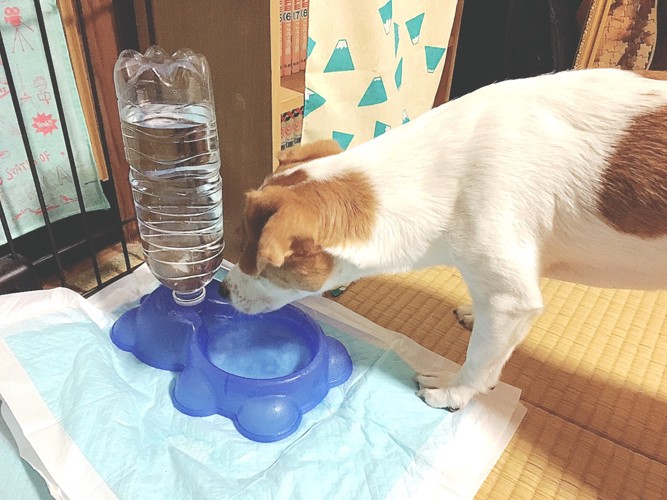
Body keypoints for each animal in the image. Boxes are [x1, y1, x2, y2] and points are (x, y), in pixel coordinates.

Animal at [220, 68, 667, 412]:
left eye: (256, 260)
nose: (222, 290)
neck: (438, 175)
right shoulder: (517, 291)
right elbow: (499, 346)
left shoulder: (508, 298)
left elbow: (481, 359)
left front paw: (454, 391)